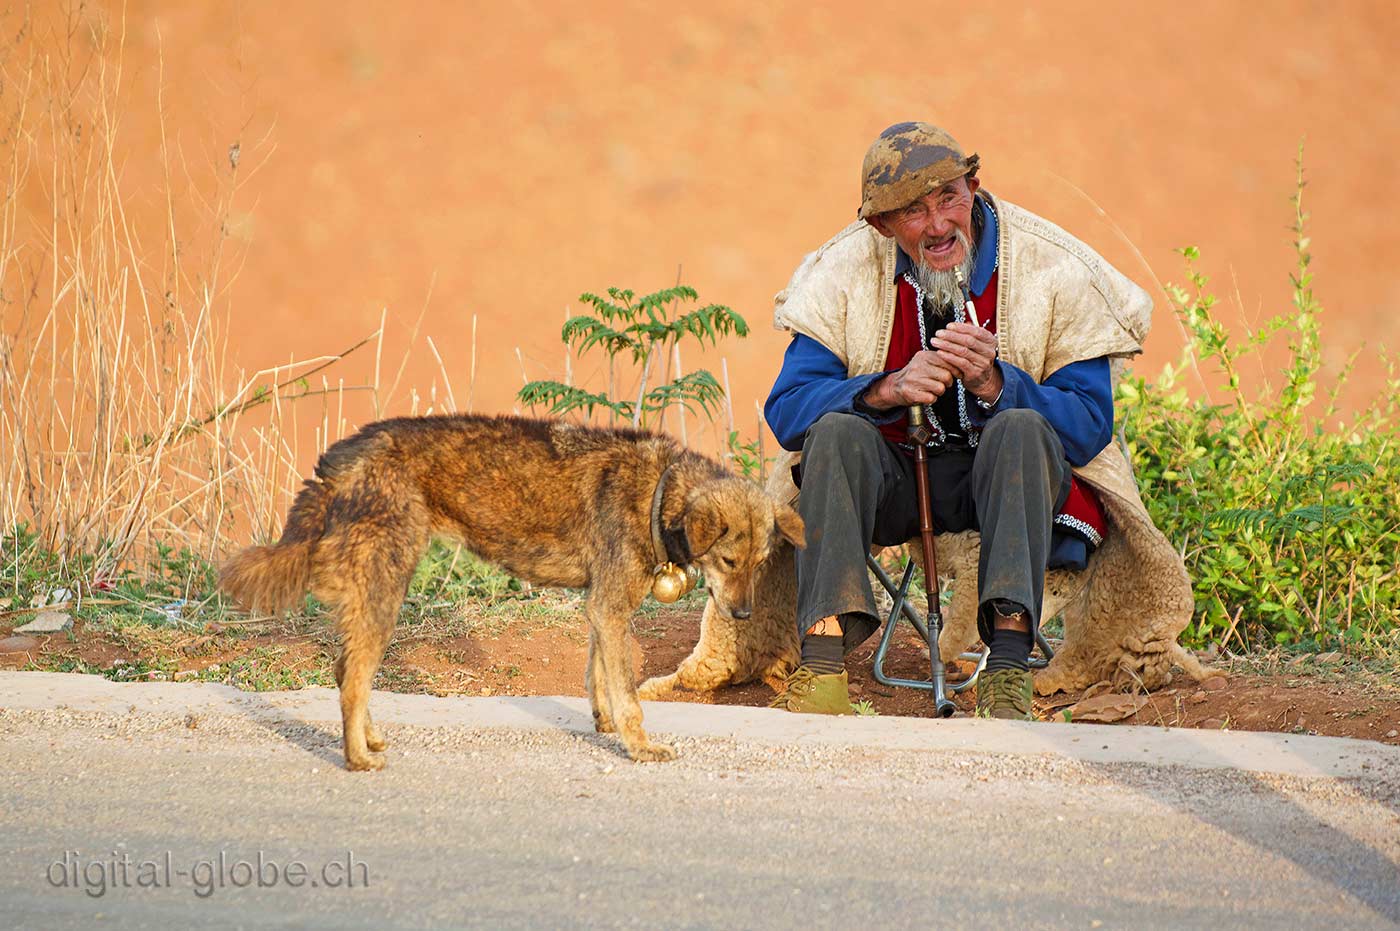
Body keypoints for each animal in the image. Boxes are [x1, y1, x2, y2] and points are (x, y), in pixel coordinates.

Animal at [222, 414, 806, 767]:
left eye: (760, 564)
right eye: (728, 561)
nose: (744, 614)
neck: (659, 494)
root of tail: (345, 453)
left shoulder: (600, 610)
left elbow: (598, 678)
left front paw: (602, 724)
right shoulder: (611, 607)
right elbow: (631, 699)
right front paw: (640, 748)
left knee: (346, 671)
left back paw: (369, 741)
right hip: (388, 587)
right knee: (352, 678)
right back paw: (358, 758)